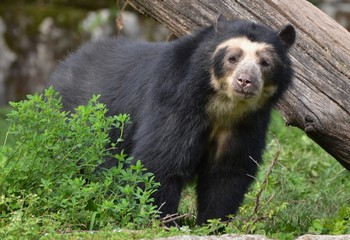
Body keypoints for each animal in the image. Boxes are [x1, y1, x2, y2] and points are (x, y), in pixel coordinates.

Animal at [49, 15, 296, 225]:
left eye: (265, 63)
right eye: (232, 58)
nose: (245, 81)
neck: (222, 106)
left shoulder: (246, 124)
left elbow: (227, 174)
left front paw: (212, 225)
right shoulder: (175, 103)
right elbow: (159, 161)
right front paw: (164, 221)